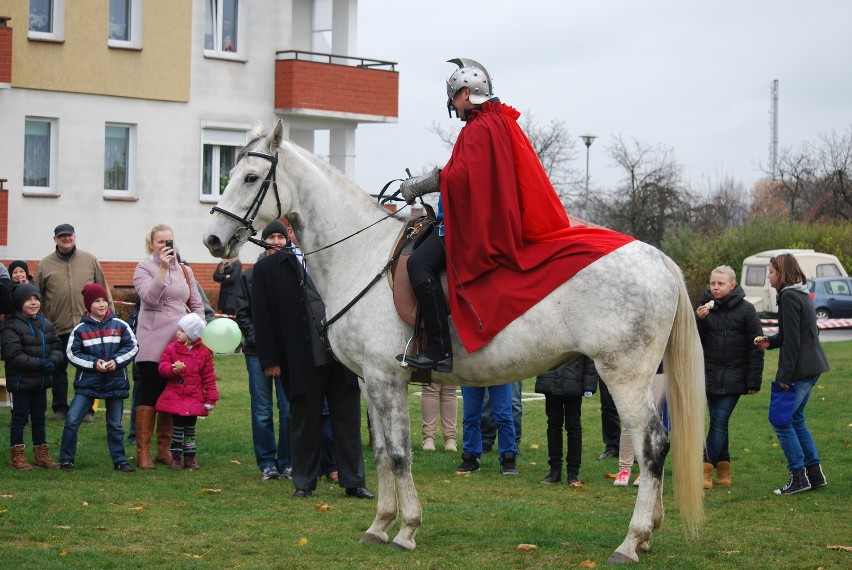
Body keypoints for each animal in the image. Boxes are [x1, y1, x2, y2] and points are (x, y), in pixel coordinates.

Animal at [201, 122, 704, 560]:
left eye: (250, 177)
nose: (212, 240)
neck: (360, 256)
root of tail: (659, 259)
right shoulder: (369, 382)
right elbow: (380, 453)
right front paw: (379, 525)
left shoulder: (386, 379)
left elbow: (399, 454)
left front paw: (406, 530)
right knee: (657, 445)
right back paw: (648, 536)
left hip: (623, 375)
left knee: (652, 446)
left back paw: (630, 541)